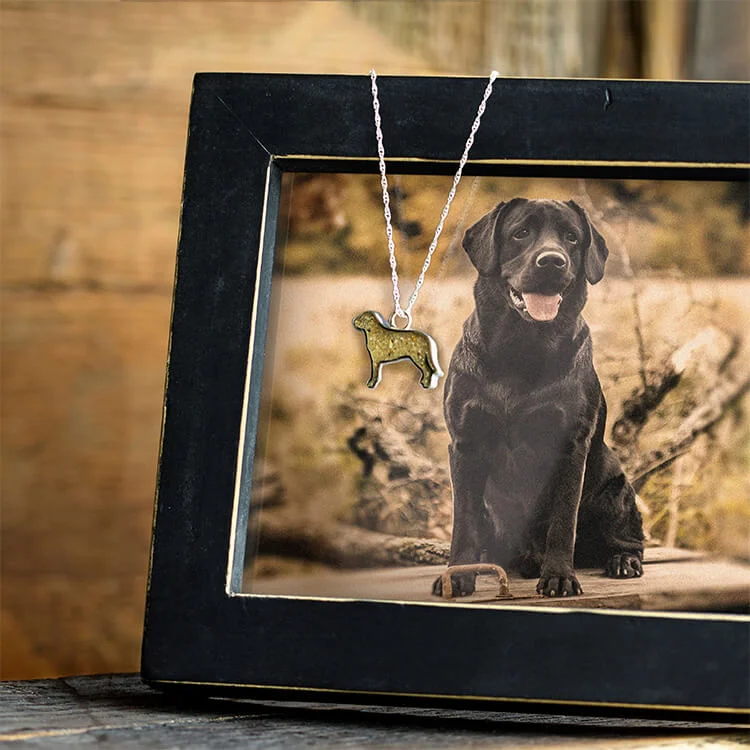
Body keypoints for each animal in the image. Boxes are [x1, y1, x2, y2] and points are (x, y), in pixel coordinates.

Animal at [434, 198, 648, 600]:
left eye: (572, 237)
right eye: (520, 233)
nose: (552, 261)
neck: (521, 349)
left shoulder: (568, 445)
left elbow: (563, 522)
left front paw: (559, 577)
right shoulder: (466, 443)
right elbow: (463, 522)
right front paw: (458, 575)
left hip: (615, 489)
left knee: (628, 539)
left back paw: (622, 561)